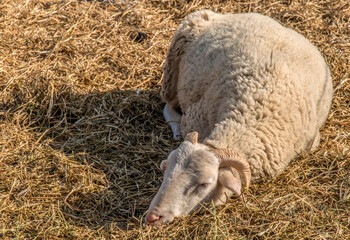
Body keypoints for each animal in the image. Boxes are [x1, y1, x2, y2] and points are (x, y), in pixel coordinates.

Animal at [145, 9, 334, 227]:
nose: (153, 216)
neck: (250, 116)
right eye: (166, 170)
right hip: (172, 70)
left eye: (203, 184)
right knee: (168, 105)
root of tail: (222, 15)